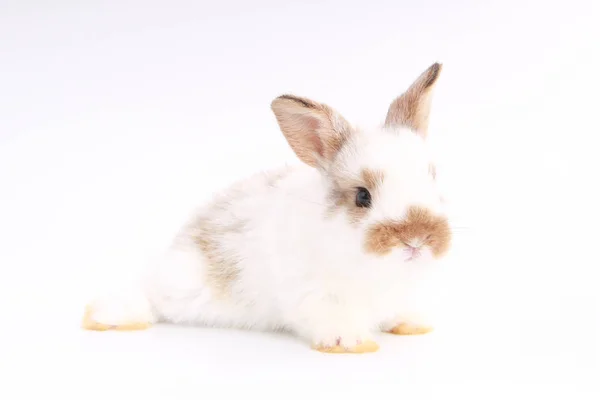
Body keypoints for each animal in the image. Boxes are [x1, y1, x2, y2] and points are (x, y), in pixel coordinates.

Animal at [82, 61, 452, 354]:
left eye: (433, 179)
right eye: (362, 196)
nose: (418, 239)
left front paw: (413, 324)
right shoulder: (312, 294)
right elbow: (330, 318)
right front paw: (351, 343)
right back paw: (106, 316)